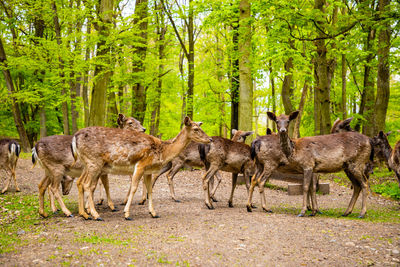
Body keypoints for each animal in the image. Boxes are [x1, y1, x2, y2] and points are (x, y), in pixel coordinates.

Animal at [71, 116, 212, 221]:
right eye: (196, 129)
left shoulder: (148, 171)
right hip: (94, 162)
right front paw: (127, 214)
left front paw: (153, 213)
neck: (162, 151)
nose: (210, 139)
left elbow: (150, 189)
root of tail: (74, 137)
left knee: (81, 182)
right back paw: (95, 215)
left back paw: (85, 214)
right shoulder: (141, 165)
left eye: (200, 127)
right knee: (87, 185)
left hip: (88, 164)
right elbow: (134, 188)